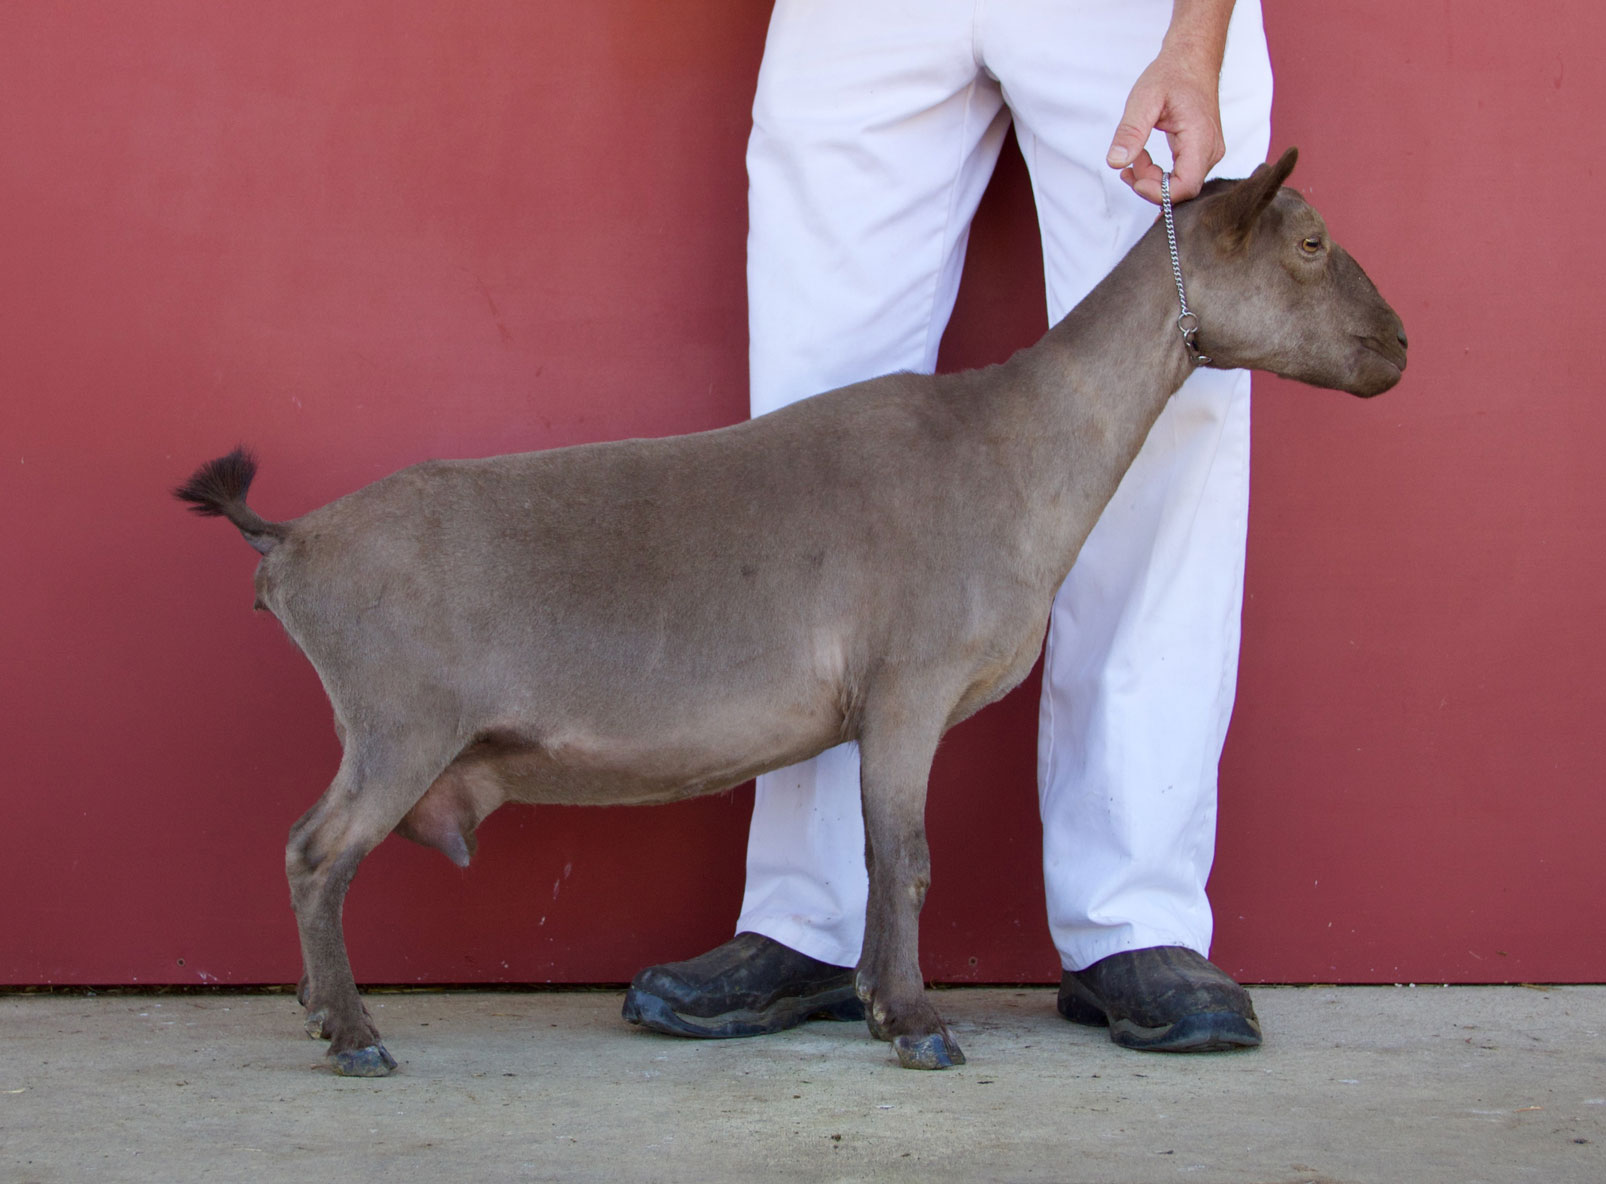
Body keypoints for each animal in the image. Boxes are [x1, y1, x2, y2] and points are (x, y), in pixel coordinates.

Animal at [175, 147, 1406, 1073]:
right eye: (1309, 244)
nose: (1399, 344)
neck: (1016, 446)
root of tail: (291, 542)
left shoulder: (883, 706)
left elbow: (881, 856)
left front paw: (877, 1000)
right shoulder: (910, 685)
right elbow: (904, 859)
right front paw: (915, 1022)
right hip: (398, 719)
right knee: (313, 852)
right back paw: (351, 1031)